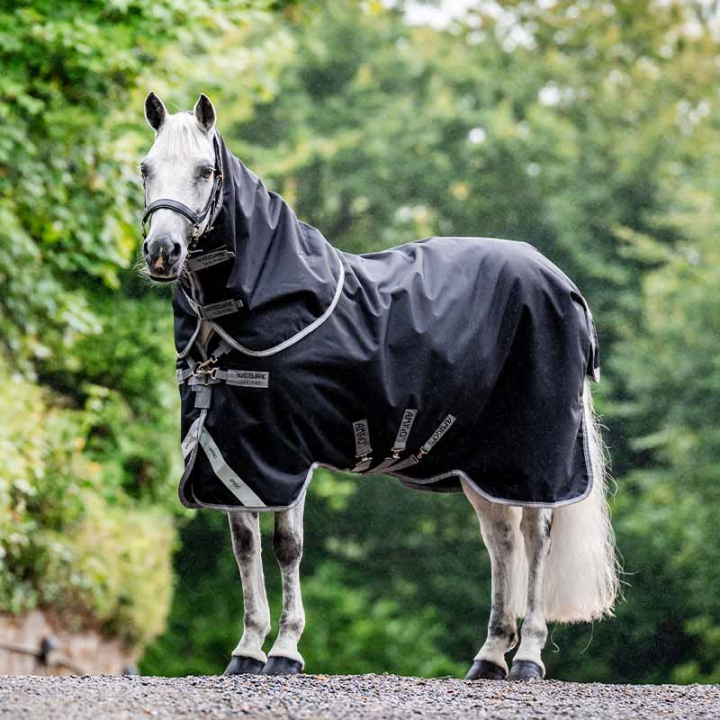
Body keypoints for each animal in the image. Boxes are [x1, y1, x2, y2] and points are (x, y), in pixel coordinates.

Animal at [138, 92, 618, 681]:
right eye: (146, 168)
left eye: (205, 171)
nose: (162, 252)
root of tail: (562, 283)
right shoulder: (235, 452)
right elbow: (245, 547)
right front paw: (246, 650)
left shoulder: (285, 451)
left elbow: (287, 545)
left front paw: (285, 651)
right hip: (487, 463)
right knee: (502, 540)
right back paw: (489, 657)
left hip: (536, 455)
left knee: (536, 536)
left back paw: (526, 656)